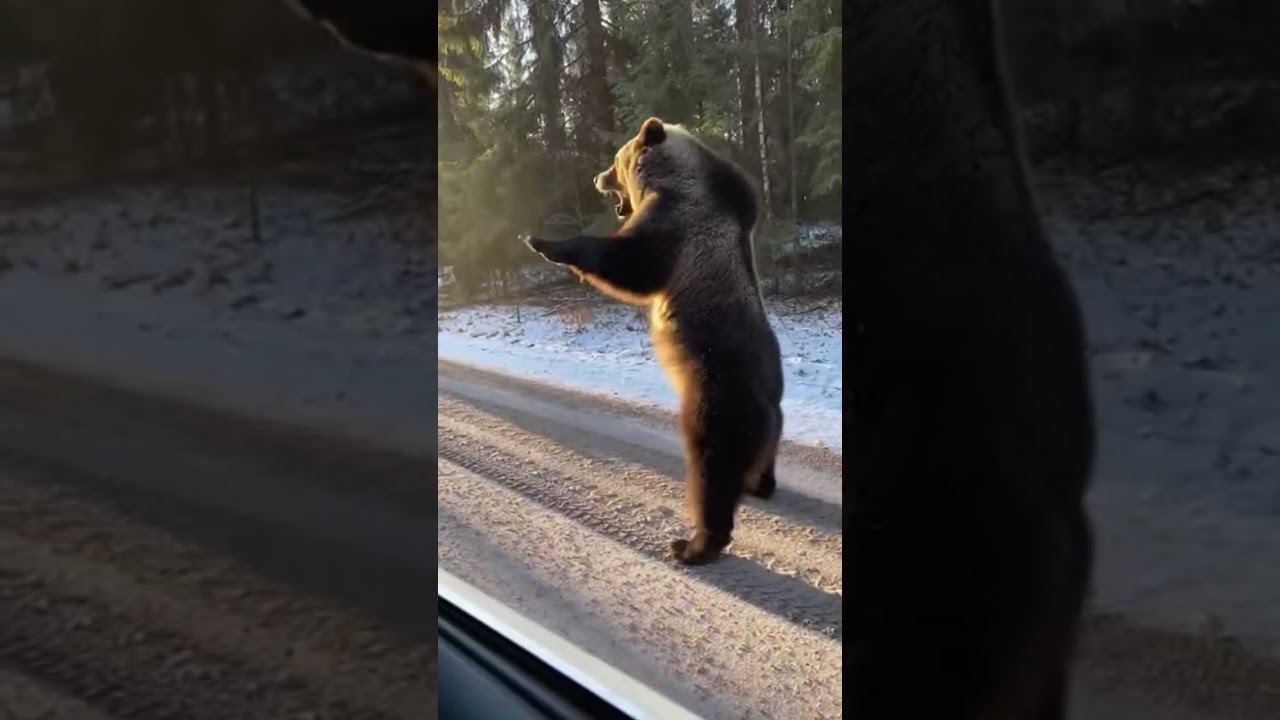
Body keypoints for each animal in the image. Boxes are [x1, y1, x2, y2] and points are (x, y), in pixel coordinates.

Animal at [523, 117, 784, 565]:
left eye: (615, 160)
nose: (597, 176)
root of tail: (766, 410)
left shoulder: (678, 224)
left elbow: (630, 262)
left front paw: (543, 242)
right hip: (771, 412)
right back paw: (759, 484)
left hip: (718, 402)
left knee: (712, 471)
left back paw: (694, 544)